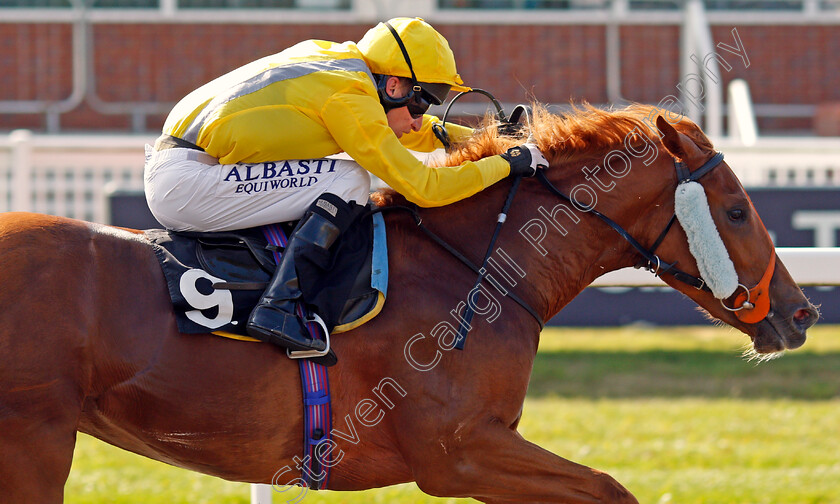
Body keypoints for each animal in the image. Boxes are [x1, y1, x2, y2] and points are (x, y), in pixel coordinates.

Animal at [0, 104, 816, 502]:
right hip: (33, 441)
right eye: (737, 209)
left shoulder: (476, 451)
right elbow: (611, 491)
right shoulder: (458, 453)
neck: (473, 267)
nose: (802, 312)